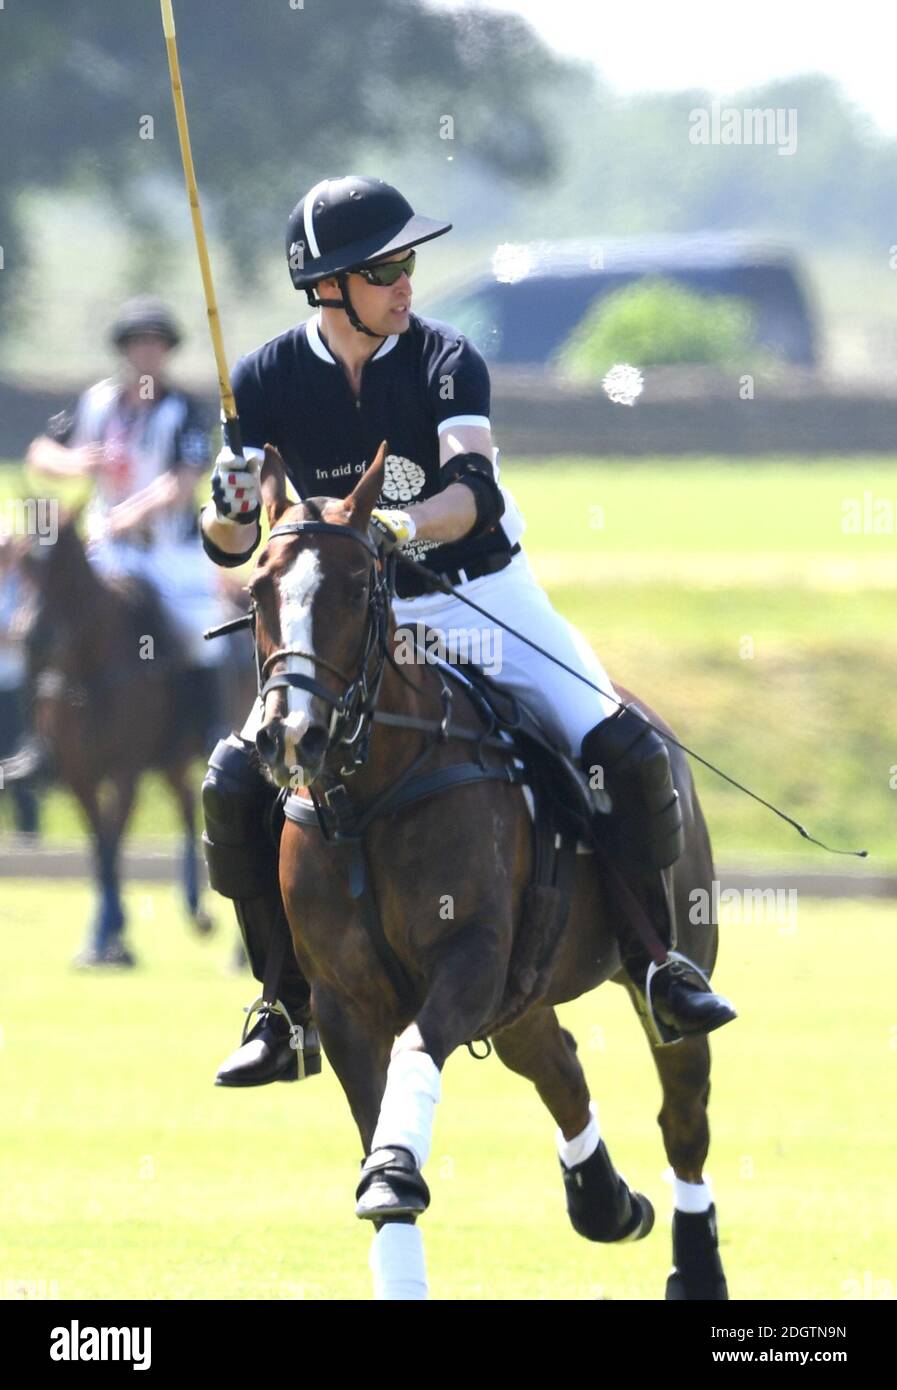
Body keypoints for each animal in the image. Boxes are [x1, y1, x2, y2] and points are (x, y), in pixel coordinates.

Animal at [7, 517, 218, 961]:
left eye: (67, 572)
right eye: (23, 566)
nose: (32, 637)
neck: (90, 671)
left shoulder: (126, 771)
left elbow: (112, 840)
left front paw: (113, 937)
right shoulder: (78, 774)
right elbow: (100, 846)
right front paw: (103, 938)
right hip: (171, 760)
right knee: (187, 805)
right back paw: (194, 907)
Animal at [246, 447, 728, 1301]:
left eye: (358, 587)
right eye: (257, 590)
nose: (290, 735)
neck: (370, 795)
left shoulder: (468, 958)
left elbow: (410, 1069)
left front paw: (394, 1172)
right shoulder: (342, 1001)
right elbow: (381, 1153)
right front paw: (391, 1192)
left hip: (658, 968)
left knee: (682, 1116)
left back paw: (694, 1264)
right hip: (522, 992)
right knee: (556, 1062)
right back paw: (605, 1202)